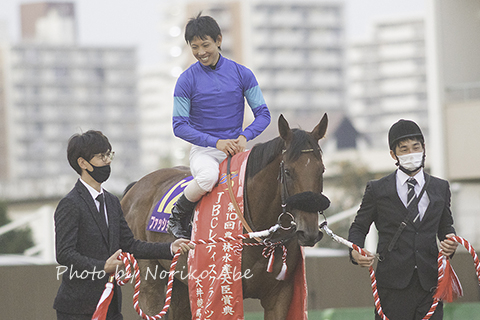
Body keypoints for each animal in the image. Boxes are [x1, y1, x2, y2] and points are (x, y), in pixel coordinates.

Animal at [122, 114, 328, 318]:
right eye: (288, 172)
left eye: (322, 170)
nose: (308, 232)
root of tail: (135, 187)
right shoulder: (223, 288)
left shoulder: (279, 296)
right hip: (149, 275)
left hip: (181, 284)